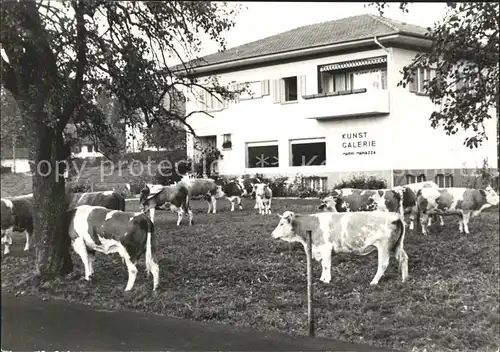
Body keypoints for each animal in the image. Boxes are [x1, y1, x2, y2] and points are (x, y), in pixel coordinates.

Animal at [272, 209, 408, 286]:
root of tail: (396, 216)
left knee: (383, 264)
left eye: (281, 224)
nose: (272, 234)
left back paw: (374, 282)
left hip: (384, 247)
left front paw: (327, 280)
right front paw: (322, 278)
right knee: (404, 258)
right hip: (396, 246)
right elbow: (323, 264)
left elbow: (326, 265)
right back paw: (404, 279)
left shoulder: (326, 247)